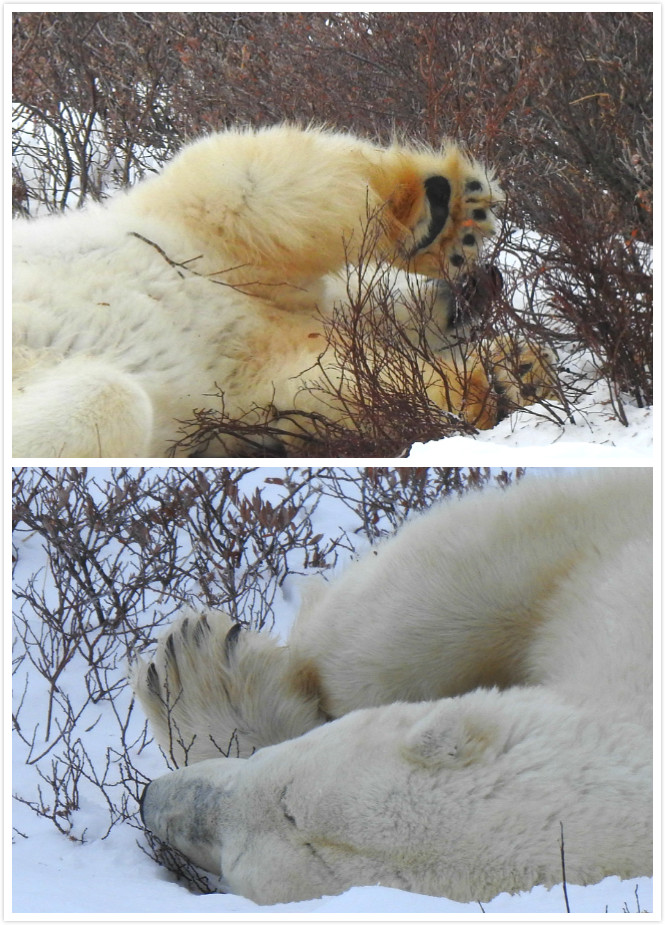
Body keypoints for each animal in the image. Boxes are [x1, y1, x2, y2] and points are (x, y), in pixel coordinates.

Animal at [13, 126, 552, 458]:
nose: (486, 282)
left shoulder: (248, 376)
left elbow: (341, 390)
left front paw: (513, 372)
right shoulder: (194, 244)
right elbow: (249, 185)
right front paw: (443, 213)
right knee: (107, 398)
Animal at [132, 470, 652, 904]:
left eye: (237, 862)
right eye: (283, 784)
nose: (152, 801)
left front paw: (198, 679)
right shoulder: (612, 545)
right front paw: (193, 654)